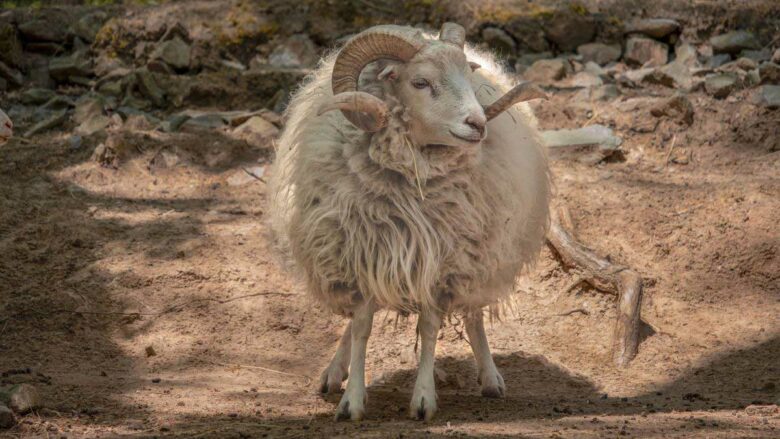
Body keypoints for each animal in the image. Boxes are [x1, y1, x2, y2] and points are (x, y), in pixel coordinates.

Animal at [272, 22, 552, 422]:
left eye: (468, 76)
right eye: (421, 82)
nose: (478, 124)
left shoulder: (444, 266)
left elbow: (430, 327)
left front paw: (423, 399)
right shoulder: (360, 255)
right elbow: (361, 327)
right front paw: (351, 401)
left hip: (482, 255)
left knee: (474, 314)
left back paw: (489, 377)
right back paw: (333, 372)